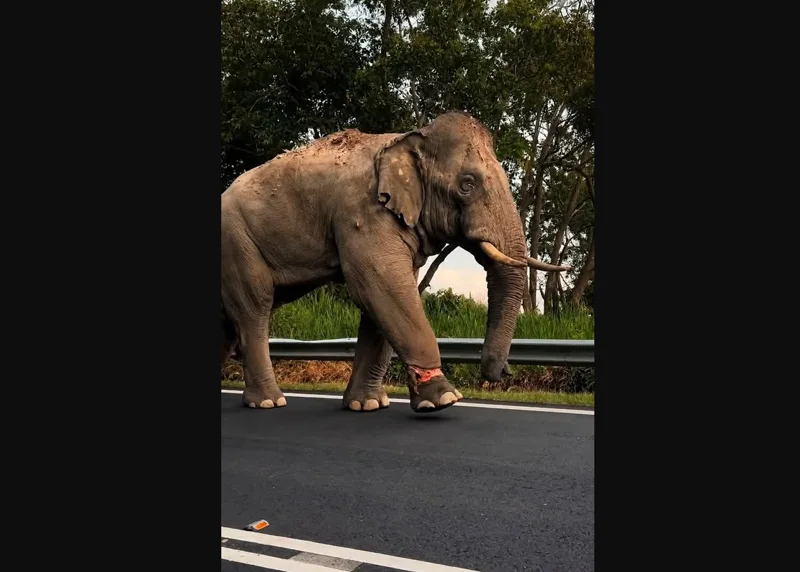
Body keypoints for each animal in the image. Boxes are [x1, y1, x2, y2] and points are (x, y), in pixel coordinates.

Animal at [221, 112, 569, 414]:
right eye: (467, 184)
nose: (502, 372)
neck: (408, 138)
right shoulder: (364, 212)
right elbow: (379, 286)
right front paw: (443, 399)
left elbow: (384, 298)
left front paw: (369, 404)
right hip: (236, 239)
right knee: (256, 304)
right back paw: (269, 402)